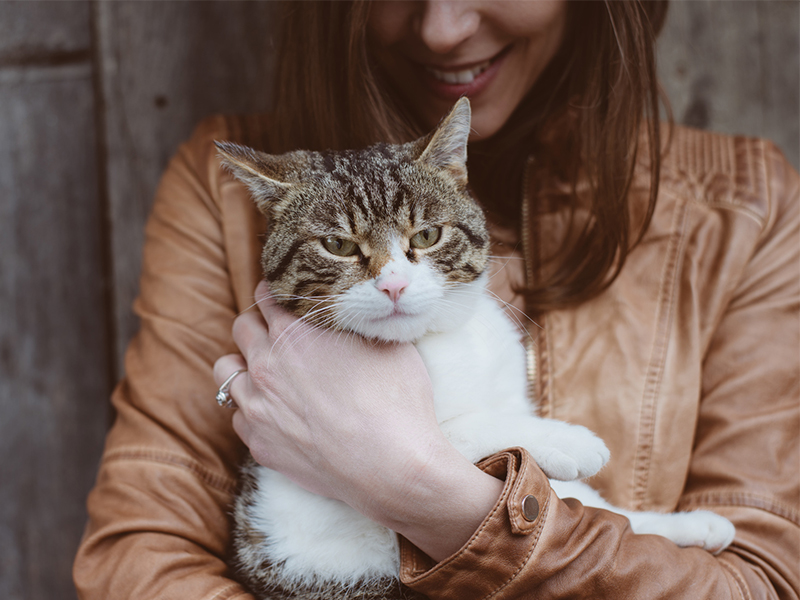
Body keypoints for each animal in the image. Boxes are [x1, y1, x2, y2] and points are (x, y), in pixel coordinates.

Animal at [214, 98, 736, 600]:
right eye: (338, 245)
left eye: (427, 235)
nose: (394, 286)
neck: (438, 340)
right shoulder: (319, 496)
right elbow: (456, 429)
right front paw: (568, 441)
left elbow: (586, 504)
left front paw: (681, 525)